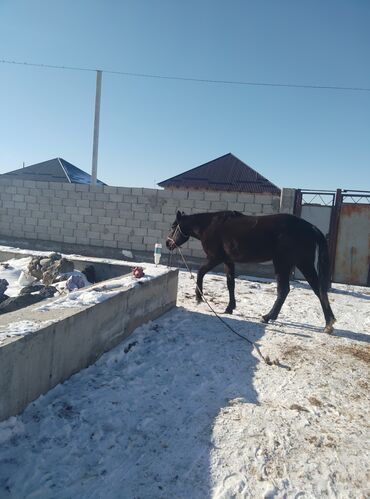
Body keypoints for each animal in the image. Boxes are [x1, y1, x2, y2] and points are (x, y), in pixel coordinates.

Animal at [166, 209, 336, 334]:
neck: (210, 225)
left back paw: (267, 316)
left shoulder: (215, 258)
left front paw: (198, 297)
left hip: (285, 264)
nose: (168, 243)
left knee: (284, 290)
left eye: (173, 227)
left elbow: (200, 273)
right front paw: (230, 308)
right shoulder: (228, 261)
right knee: (318, 290)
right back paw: (329, 323)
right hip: (302, 264)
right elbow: (230, 284)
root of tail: (310, 227)